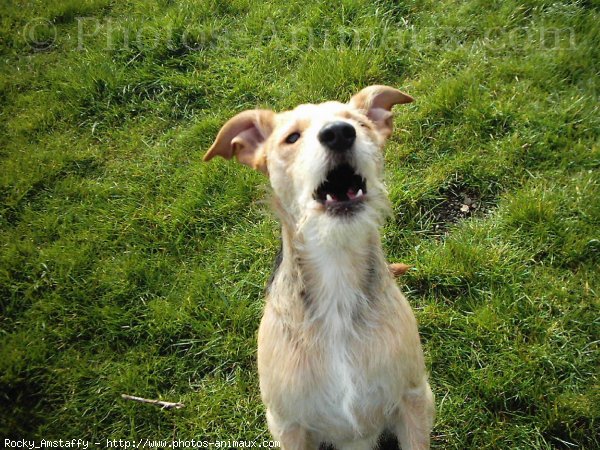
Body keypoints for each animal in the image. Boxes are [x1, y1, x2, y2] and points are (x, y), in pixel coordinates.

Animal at [204, 85, 434, 450]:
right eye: (292, 137)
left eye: (361, 124)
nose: (339, 133)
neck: (336, 273)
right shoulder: (287, 426)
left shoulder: (413, 399)